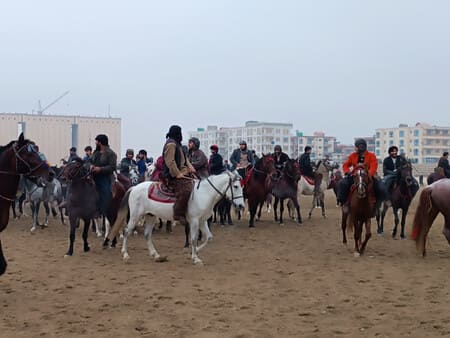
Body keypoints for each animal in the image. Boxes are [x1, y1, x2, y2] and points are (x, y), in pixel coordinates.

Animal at [105, 172, 244, 264]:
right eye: (236, 186)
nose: (241, 206)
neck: (204, 193)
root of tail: (134, 187)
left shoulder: (202, 221)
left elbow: (209, 237)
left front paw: (195, 252)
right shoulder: (194, 221)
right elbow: (193, 239)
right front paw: (195, 258)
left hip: (150, 216)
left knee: (147, 234)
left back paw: (156, 255)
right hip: (135, 215)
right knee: (126, 232)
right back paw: (125, 254)